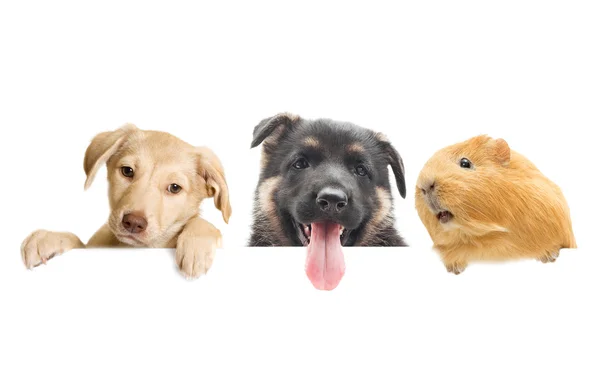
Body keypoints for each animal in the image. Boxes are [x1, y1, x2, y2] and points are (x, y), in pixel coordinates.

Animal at [20, 124, 232, 280]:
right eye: (127, 171)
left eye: (174, 188)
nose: (133, 223)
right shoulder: (92, 249)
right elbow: (77, 241)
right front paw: (48, 237)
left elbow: (201, 223)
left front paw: (196, 246)